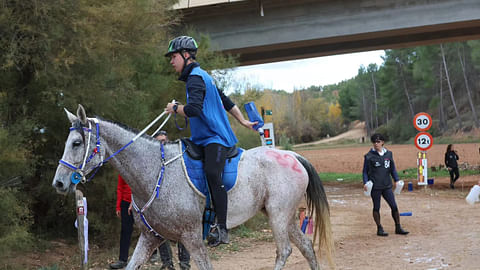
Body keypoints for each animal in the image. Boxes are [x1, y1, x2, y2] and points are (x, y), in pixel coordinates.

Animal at [50, 104, 332, 268]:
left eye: (76, 143)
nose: (59, 182)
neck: (154, 173)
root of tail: (291, 155)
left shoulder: (193, 239)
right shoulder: (150, 238)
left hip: (278, 215)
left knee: (284, 251)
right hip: (285, 217)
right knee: (306, 247)